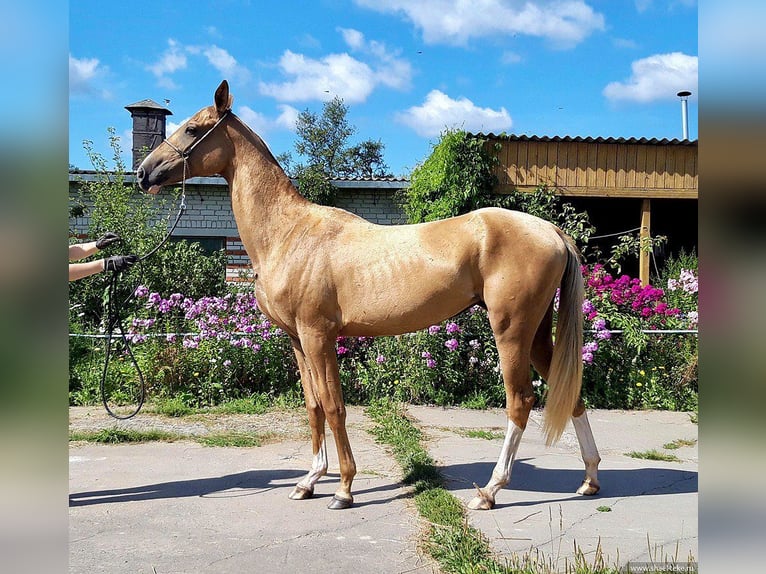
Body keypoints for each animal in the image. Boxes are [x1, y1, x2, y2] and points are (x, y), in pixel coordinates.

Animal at [141, 80, 604, 512]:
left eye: (193, 128)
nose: (146, 172)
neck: (289, 233)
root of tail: (552, 231)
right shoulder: (297, 340)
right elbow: (312, 406)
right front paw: (308, 481)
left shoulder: (319, 336)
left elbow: (334, 406)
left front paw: (343, 488)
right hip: (537, 333)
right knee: (571, 392)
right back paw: (589, 480)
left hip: (511, 331)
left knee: (520, 401)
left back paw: (490, 491)